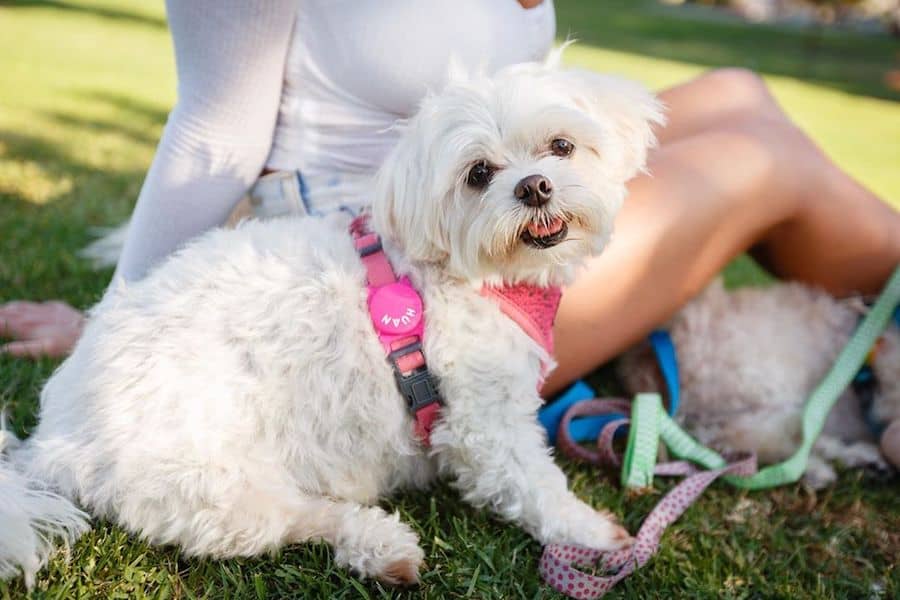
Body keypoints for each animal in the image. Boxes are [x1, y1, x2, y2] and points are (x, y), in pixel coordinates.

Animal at [0, 61, 660, 584]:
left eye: (562, 146)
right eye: (478, 173)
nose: (535, 186)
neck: (467, 276)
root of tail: (53, 442)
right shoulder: (484, 423)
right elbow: (533, 486)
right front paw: (591, 533)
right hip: (210, 483)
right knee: (295, 519)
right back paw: (380, 545)